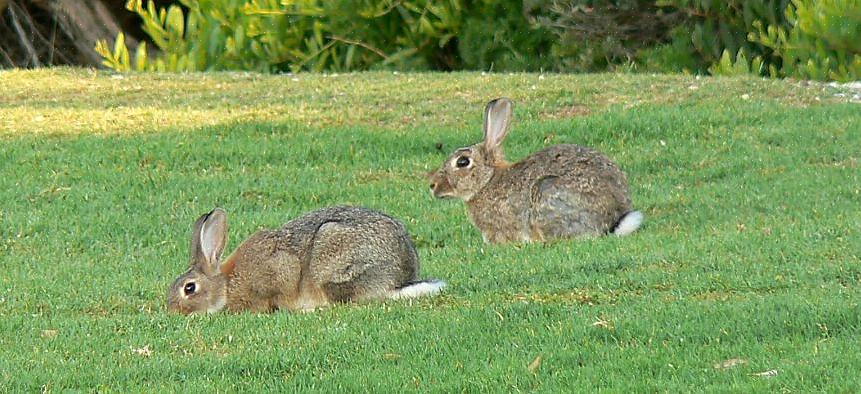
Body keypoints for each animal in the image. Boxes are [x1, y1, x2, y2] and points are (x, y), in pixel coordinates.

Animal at [166, 206, 444, 314]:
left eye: (189, 288)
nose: (172, 311)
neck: (226, 284)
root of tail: (398, 280)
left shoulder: (280, 271)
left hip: (333, 265)